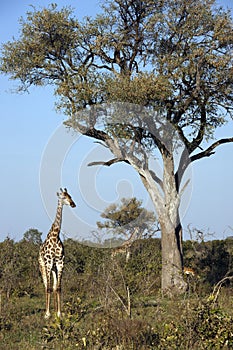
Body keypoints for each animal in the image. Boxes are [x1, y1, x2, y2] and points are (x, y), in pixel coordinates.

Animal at [38, 187, 75, 318]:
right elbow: (48, 288)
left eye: (70, 196)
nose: (73, 204)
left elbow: (58, 288)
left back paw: (54, 310)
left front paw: (59, 313)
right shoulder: (48, 263)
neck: (55, 236)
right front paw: (47, 314)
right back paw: (48, 311)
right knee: (46, 286)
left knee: (53, 287)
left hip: (53, 268)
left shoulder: (60, 262)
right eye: (63, 197)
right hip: (43, 266)